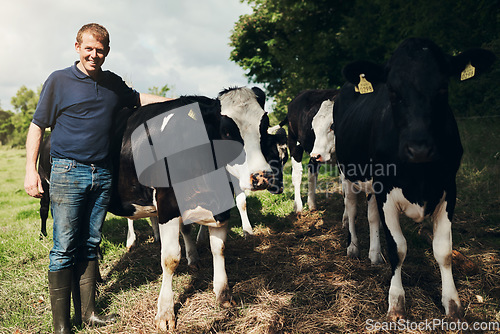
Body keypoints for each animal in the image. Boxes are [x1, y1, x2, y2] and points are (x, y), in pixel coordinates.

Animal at [332, 37, 496, 320]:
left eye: (443, 87)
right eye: (393, 91)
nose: (419, 148)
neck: (420, 177)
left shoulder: (448, 189)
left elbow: (443, 250)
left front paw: (452, 304)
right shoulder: (386, 191)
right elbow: (398, 247)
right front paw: (396, 302)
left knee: (371, 217)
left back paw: (374, 255)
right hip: (348, 173)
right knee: (352, 209)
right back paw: (353, 247)